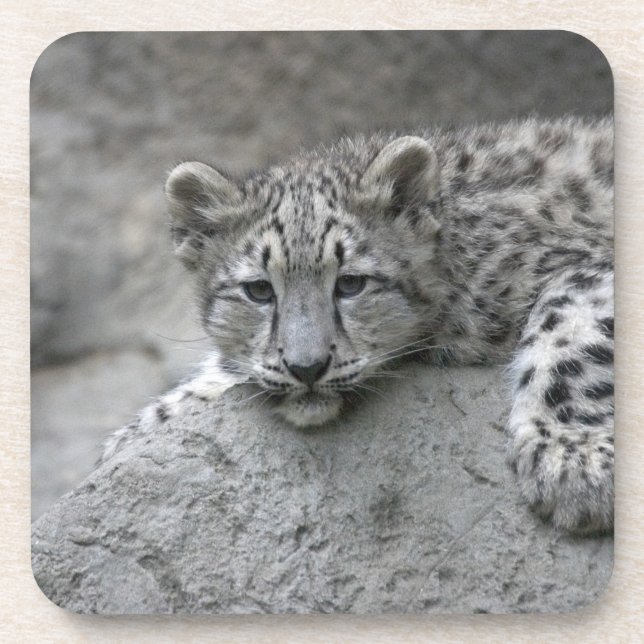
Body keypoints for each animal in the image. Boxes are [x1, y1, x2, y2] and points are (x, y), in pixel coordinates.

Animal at [102, 115, 614, 535]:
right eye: (259, 290)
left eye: (350, 283)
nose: (307, 367)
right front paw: (130, 439)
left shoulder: (582, 263)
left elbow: (570, 332)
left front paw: (575, 464)